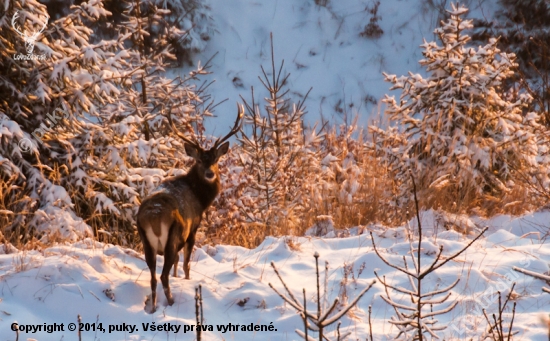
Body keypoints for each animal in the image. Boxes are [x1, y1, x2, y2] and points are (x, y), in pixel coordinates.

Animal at [137, 105, 243, 310]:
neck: (200, 199)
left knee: (153, 277)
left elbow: (177, 264)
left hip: (146, 242)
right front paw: (186, 280)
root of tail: (153, 218)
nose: (210, 173)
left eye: (215, 160)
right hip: (172, 237)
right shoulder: (193, 228)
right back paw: (171, 302)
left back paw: (153, 307)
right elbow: (186, 263)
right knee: (162, 275)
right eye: (200, 160)